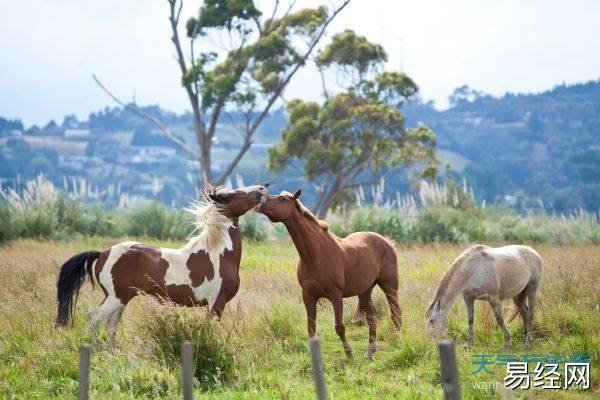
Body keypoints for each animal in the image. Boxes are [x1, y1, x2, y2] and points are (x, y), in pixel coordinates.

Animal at [56, 184, 268, 344]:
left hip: (121, 299)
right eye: (233, 194)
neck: (218, 254)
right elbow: (211, 330)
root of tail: (103, 254)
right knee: (94, 318)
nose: (262, 189)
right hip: (115, 297)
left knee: (110, 327)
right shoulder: (216, 302)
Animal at [258, 189, 404, 360]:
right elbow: (311, 327)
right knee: (372, 319)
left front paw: (349, 354)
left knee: (395, 313)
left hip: (390, 286)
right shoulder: (308, 296)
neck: (316, 254)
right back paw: (369, 353)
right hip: (365, 291)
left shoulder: (336, 295)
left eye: (281, 198)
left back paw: (398, 341)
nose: (260, 200)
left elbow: (339, 326)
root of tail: (387, 241)